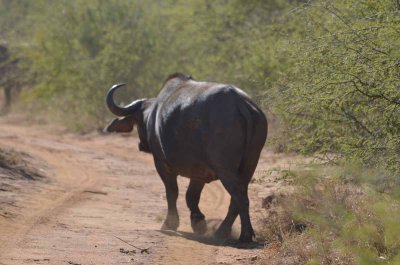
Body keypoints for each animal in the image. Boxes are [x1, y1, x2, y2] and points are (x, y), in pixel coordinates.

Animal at [104, 72, 268, 241]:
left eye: (138, 121)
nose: (141, 145)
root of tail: (240, 104)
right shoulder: (199, 174)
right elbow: (191, 196)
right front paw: (198, 223)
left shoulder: (162, 164)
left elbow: (172, 193)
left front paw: (169, 224)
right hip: (249, 166)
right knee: (238, 198)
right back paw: (226, 231)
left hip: (225, 169)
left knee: (240, 197)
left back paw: (241, 234)